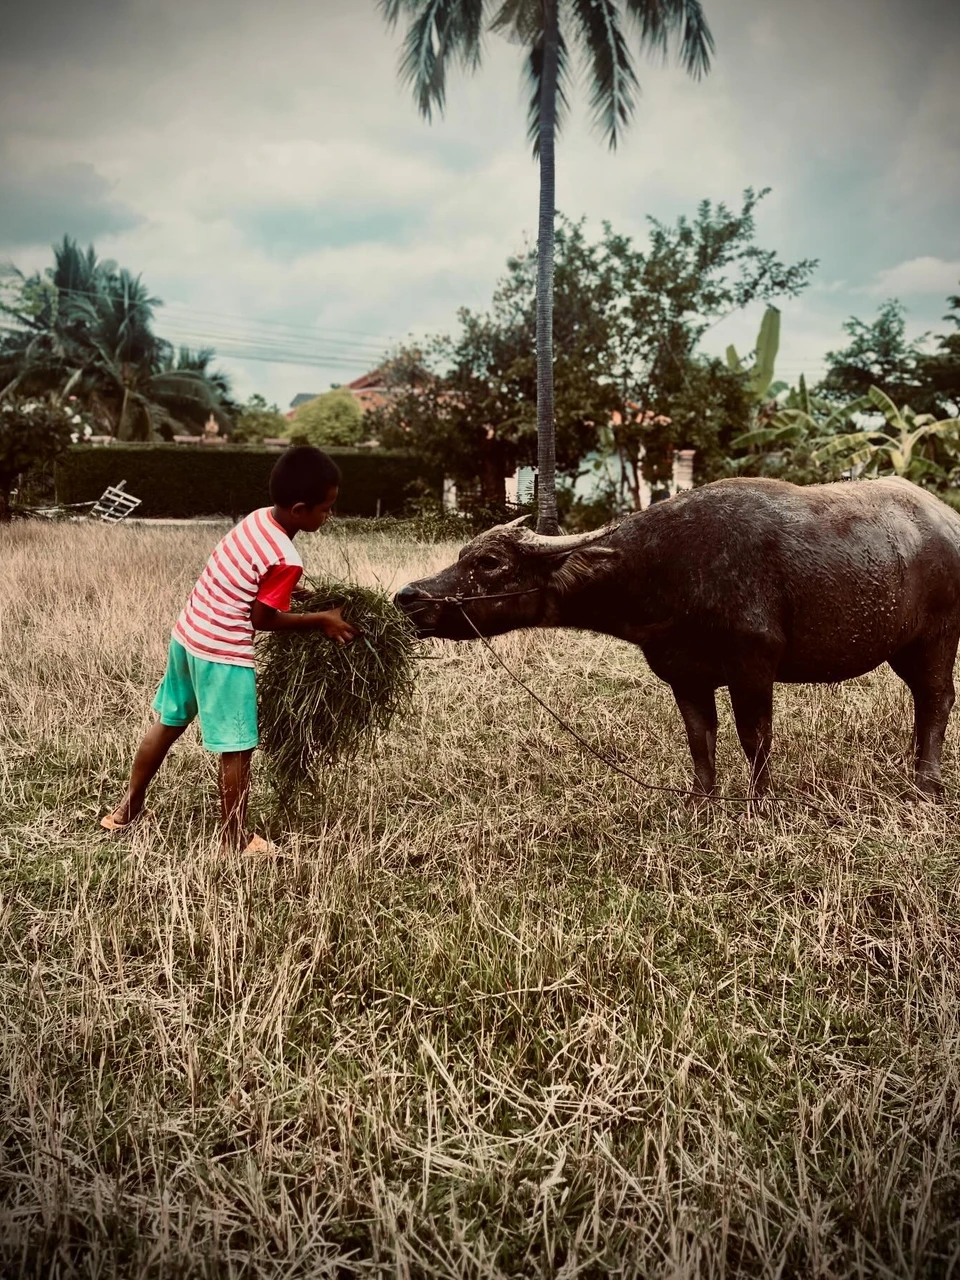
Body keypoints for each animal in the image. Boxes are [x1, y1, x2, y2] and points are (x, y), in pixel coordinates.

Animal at [394, 477, 960, 798]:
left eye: (489, 562)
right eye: (464, 555)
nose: (408, 597)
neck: (661, 568)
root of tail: (947, 519)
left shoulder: (753, 664)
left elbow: (755, 738)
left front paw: (759, 803)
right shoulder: (684, 674)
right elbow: (699, 741)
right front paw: (701, 802)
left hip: (937, 638)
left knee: (936, 698)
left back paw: (925, 784)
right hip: (902, 648)